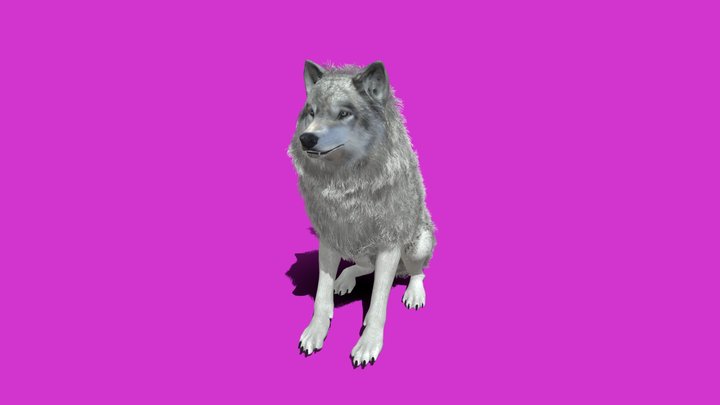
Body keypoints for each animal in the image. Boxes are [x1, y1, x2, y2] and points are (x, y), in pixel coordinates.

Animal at [288, 60, 437, 367]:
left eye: (344, 114)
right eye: (312, 112)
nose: (306, 138)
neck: (347, 185)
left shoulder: (390, 243)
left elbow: (379, 302)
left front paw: (368, 343)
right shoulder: (329, 238)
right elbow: (321, 295)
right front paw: (315, 332)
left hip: (416, 245)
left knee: (417, 272)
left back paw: (414, 293)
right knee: (365, 267)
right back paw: (345, 279)